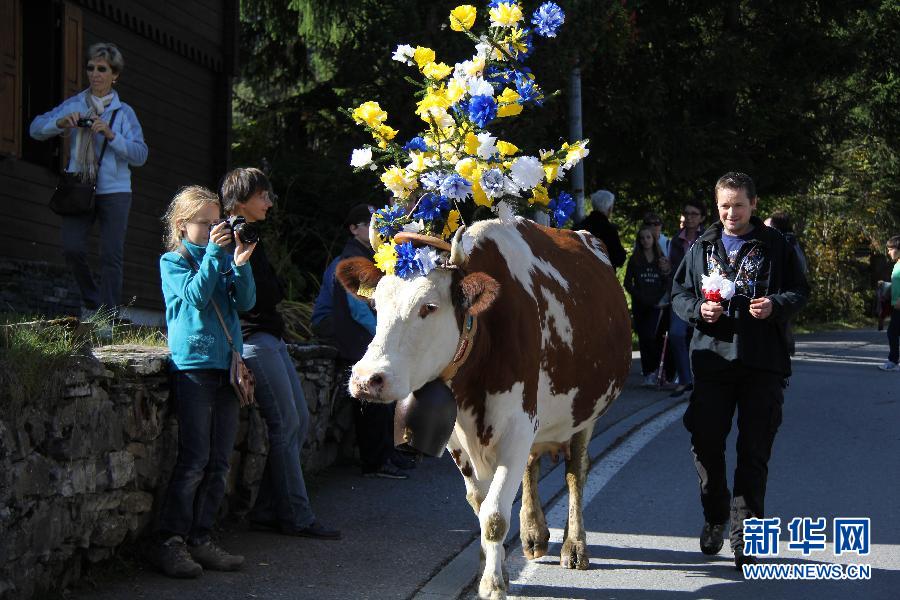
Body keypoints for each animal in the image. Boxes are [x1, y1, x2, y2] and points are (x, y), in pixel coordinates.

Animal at [338, 217, 632, 600]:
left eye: (428, 307)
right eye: (376, 306)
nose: (366, 379)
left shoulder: (518, 426)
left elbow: (493, 515)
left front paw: (492, 585)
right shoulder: (460, 438)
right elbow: (480, 504)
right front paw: (490, 569)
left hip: (586, 413)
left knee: (575, 472)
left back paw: (575, 546)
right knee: (533, 466)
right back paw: (533, 535)